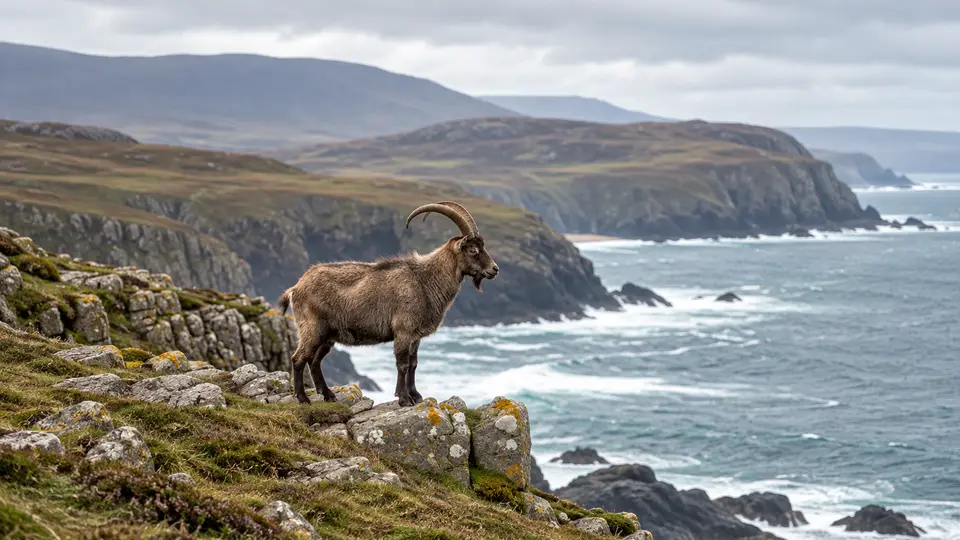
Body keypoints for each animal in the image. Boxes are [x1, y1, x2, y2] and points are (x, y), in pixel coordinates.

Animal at [278, 201, 499, 407]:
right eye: (473, 250)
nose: (494, 269)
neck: (424, 280)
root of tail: (296, 287)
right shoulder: (403, 331)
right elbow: (402, 364)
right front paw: (404, 398)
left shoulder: (415, 337)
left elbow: (413, 364)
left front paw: (416, 395)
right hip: (312, 329)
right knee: (298, 359)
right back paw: (303, 398)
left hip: (328, 336)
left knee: (314, 361)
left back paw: (328, 395)